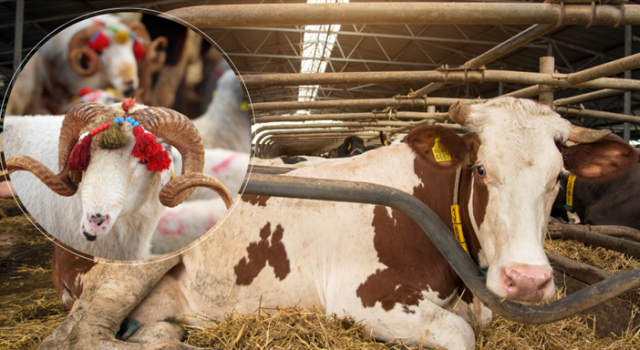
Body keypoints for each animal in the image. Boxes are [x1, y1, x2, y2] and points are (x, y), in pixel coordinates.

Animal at [42, 96, 636, 350]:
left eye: (558, 177)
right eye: (483, 169)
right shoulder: (365, 296)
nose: (528, 282)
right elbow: (462, 335)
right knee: (74, 334)